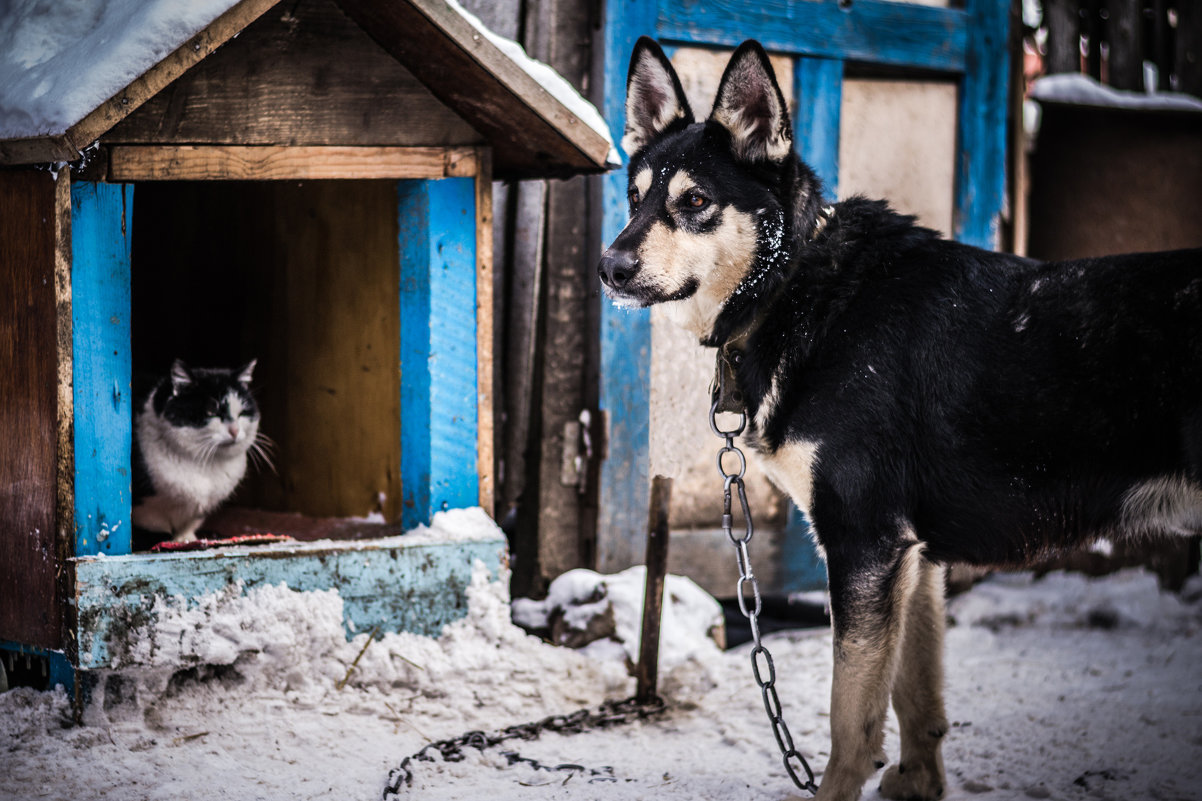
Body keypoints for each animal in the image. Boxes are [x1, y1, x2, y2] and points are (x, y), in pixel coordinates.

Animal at [132, 360, 271, 543]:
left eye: (243, 413)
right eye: (211, 411)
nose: (234, 430)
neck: (205, 463)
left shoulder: (200, 509)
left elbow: (189, 525)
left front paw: (186, 540)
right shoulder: (145, 508)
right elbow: (154, 524)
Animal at [601, 37, 1202, 798]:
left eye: (696, 201)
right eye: (634, 198)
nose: (609, 266)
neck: (796, 284)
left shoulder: (864, 542)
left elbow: (850, 722)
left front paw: (838, 784)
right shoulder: (913, 557)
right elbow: (917, 702)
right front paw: (918, 781)